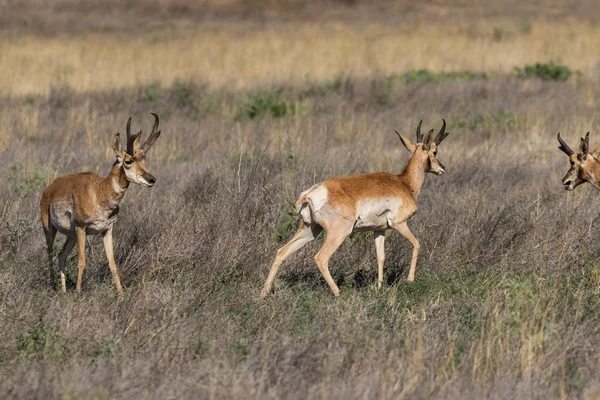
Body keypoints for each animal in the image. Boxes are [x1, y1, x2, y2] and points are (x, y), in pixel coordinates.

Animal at [40, 112, 163, 294]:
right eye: (128, 161)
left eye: (144, 159)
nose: (152, 179)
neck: (99, 191)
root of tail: (50, 188)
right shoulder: (81, 227)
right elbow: (82, 261)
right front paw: (78, 292)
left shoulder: (107, 230)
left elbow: (112, 263)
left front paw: (121, 295)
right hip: (50, 229)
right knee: (49, 253)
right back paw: (54, 288)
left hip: (71, 236)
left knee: (61, 255)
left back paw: (63, 291)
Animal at [260, 119, 452, 296]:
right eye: (435, 151)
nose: (443, 168)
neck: (403, 183)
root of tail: (311, 193)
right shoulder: (399, 224)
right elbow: (417, 244)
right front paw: (410, 279)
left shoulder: (379, 230)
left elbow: (380, 257)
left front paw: (379, 287)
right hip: (338, 233)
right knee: (321, 258)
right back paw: (338, 293)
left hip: (310, 230)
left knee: (281, 252)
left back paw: (263, 294)